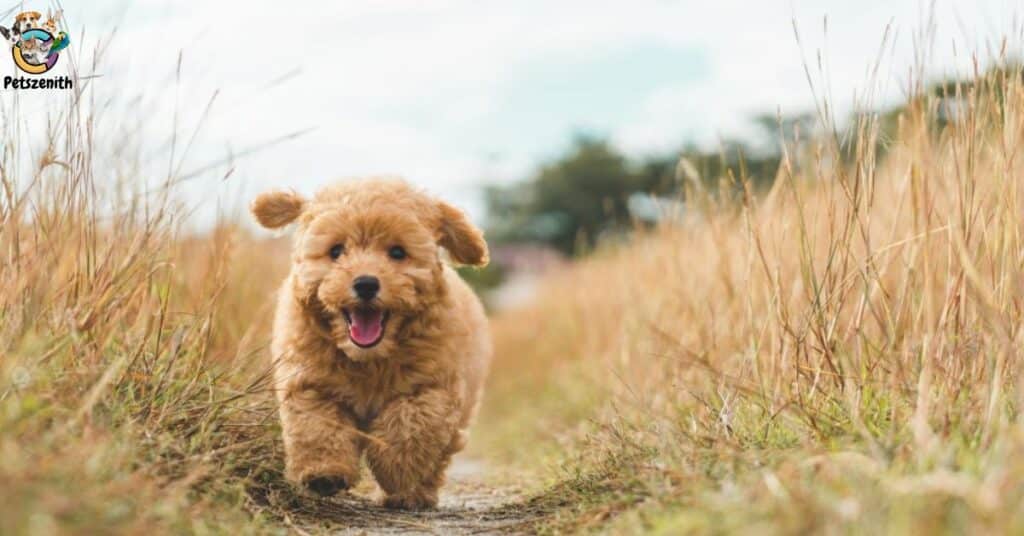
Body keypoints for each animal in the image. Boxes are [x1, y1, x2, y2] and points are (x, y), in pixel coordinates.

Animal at [250, 178, 491, 510]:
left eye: (398, 252)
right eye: (336, 250)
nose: (365, 283)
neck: (369, 358)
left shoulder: (432, 386)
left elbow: (410, 424)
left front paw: (396, 469)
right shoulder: (310, 380)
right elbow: (316, 425)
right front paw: (323, 473)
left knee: (438, 456)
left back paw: (413, 495)